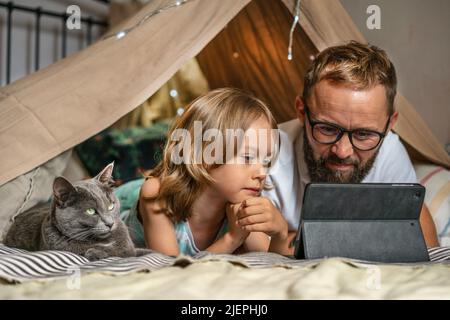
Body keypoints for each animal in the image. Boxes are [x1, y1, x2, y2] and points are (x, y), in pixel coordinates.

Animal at [3, 162, 151, 260]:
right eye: (91, 211)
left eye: (111, 206)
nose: (110, 223)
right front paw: (95, 252)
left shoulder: (130, 248)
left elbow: (134, 251)